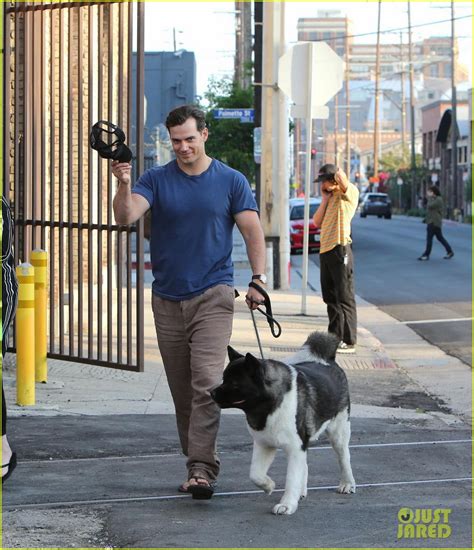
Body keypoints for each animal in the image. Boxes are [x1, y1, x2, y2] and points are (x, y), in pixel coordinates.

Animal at [211, 332, 356, 516]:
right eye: (224, 379)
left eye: (234, 383)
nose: (211, 393)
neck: (268, 405)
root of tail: (329, 361)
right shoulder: (264, 444)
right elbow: (255, 474)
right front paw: (268, 486)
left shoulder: (295, 447)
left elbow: (292, 478)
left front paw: (287, 505)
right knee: (305, 465)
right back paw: (301, 492)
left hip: (339, 432)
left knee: (344, 459)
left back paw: (347, 484)